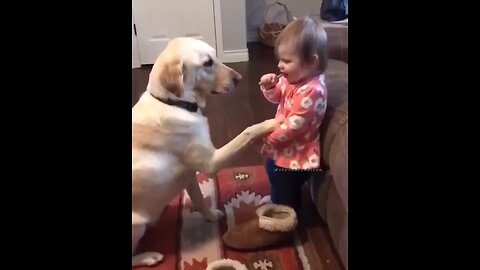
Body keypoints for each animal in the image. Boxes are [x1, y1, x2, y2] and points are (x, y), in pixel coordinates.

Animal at [132, 37, 282, 266]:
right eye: (207, 63)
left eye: (215, 56)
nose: (239, 79)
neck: (174, 104)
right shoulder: (212, 162)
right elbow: (247, 132)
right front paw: (270, 123)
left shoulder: (189, 175)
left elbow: (199, 198)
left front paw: (210, 215)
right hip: (136, 225)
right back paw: (148, 257)